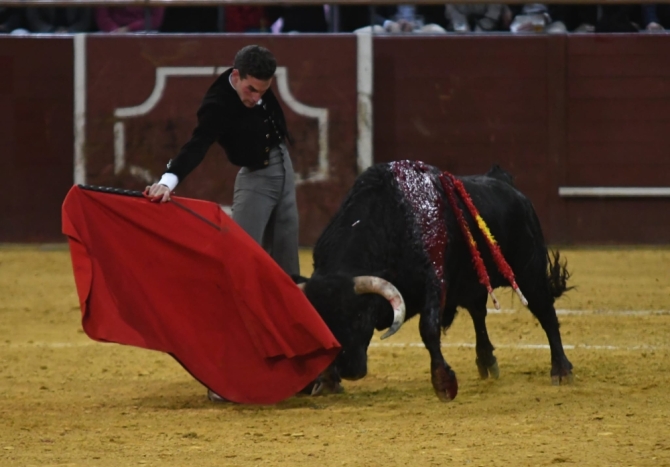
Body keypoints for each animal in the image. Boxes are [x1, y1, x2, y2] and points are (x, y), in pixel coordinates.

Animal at [304, 162, 572, 402]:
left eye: (361, 316)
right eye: (323, 322)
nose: (348, 369)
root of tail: (507, 184)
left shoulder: (434, 284)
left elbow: (428, 329)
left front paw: (444, 383)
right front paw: (325, 380)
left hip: (530, 271)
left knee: (546, 313)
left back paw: (561, 370)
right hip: (473, 282)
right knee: (479, 314)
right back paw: (487, 361)